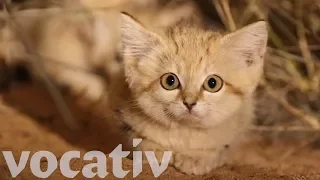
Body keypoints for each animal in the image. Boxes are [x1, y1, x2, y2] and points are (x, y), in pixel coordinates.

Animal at [120, 14, 268, 174]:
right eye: (170, 81)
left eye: (213, 83)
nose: (189, 103)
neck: (184, 134)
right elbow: (137, 140)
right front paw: (154, 151)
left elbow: (219, 150)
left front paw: (196, 157)